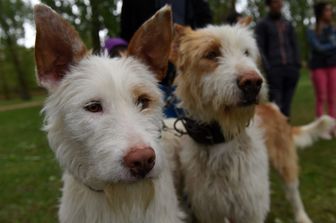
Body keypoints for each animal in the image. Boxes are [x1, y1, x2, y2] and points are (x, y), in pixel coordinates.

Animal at [161, 20, 270, 222]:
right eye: (211, 54)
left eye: (246, 52)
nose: (252, 82)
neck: (221, 139)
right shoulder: (209, 211)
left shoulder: (251, 210)